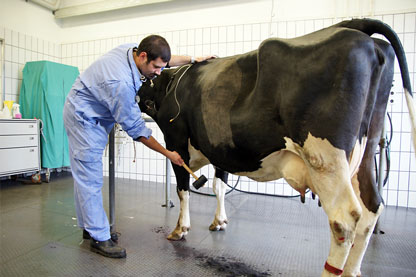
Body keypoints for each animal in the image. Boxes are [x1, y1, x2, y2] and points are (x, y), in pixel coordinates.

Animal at [137, 18, 416, 274]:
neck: (171, 85)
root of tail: (355, 28)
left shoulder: (176, 142)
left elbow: (183, 189)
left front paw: (180, 229)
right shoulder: (219, 147)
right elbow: (219, 186)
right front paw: (219, 221)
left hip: (326, 159)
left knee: (344, 219)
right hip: (366, 150)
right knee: (372, 206)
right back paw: (352, 270)